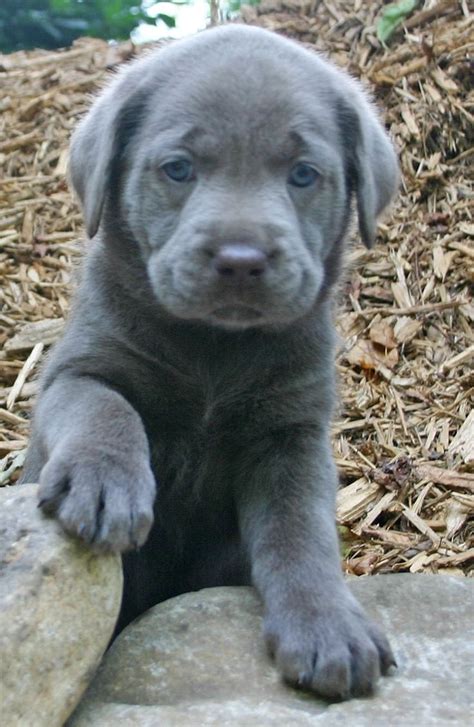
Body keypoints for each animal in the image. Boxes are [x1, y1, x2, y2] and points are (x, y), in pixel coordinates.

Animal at [23, 25, 400, 704]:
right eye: (178, 168)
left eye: (304, 174)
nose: (241, 259)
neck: (213, 350)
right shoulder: (78, 369)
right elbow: (104, 408)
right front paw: (104, 484)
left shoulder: (291, 432)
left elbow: (301, 530)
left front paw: (328, 625)